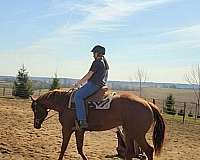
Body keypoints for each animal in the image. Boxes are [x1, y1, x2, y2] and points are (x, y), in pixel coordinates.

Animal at [30, 89, 166, 160]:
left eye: (35, 109)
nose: (36, 125)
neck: (64, 103)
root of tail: (147, 103)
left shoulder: (67, 129)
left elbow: (63, 147)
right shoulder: (79, 130)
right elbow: (80, 148)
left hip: (138, 134)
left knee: (149, 150)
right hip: (129, 133)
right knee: (130, 152)